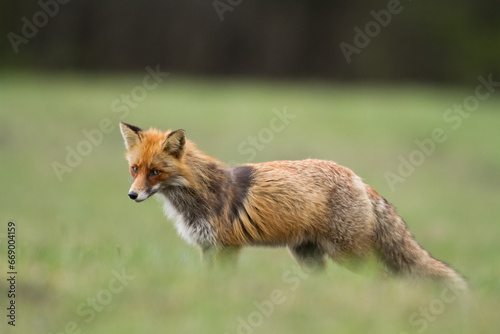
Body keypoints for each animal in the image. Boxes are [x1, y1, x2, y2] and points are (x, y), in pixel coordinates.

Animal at [119, 122, 466, 290]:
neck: (199, 193)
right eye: (135, 169)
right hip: (308, 256)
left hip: (348, 254)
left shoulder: (227, 247)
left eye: (156, 172)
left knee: (381, 277)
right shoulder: (207, 248)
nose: (132, 195)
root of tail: (359, 179)